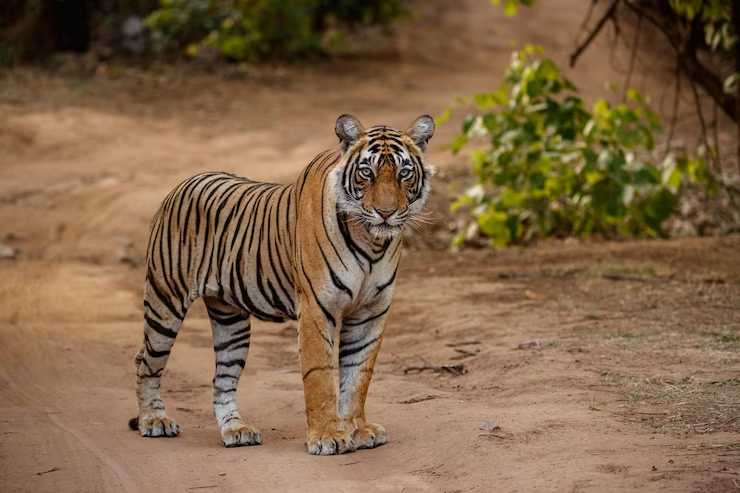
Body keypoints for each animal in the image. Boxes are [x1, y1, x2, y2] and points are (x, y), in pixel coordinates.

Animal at [131, 112, 436, 454]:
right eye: (366, 173)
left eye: (404, 173)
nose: (385, 213)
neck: (372, 243)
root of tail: (182, 183)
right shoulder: (318, 308)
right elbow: (320, 375)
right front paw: (328, 436)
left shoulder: (371, 312)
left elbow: (358, 374)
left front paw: (358, 429)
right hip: (165, 302)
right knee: (145, 362)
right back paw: (154, 421)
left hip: (231, 322)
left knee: (222, 380)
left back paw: (236, 430)